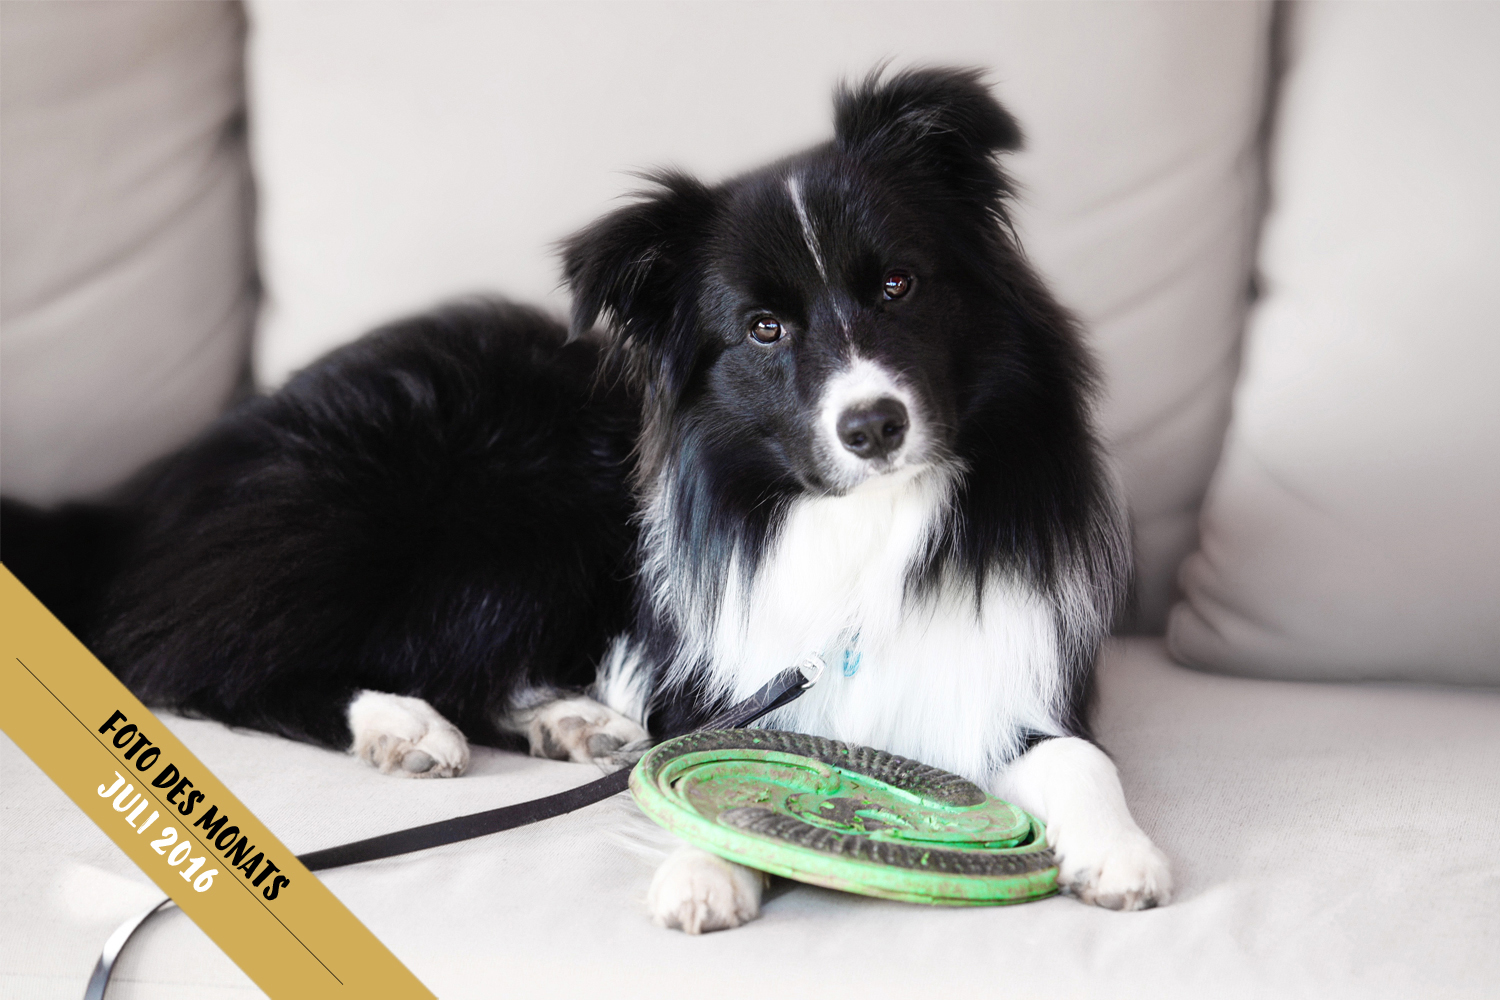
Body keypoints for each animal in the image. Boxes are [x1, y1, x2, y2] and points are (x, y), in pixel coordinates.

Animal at [2, 68, 1170, 929]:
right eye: (762, 329)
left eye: (899, 284)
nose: (872, 426)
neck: (857, 521)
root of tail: (152, 487)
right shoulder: (722, 670)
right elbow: (695, 761)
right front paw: (707, 870)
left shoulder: (1011, 673)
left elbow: (1077, 758)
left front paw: (1121, 854)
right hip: (465, 506)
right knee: (202, 663)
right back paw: (403, 723)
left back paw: (566, 720)